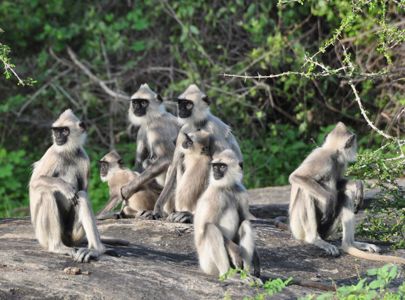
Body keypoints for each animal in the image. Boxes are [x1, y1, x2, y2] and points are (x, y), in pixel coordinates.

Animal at [28, 109, 105, 262]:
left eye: (64, 130)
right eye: (56, 130)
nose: (57, 136)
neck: (68, 153)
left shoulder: (83, 158)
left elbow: (83, 190)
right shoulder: (52, 153)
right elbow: (34, 182)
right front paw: (65, 187)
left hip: (73, 234)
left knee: (82, 195)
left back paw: (95, 250)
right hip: (42, 235)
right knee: (46, 194)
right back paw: (57, 247)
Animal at [153, 84, 241, 218]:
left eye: (188, 104)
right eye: (181, 103)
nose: (181, 110)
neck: (197, 125)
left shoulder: (213, 128)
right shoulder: (183, 131)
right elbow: (174, 165)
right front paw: (157, 209)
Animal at [288, 122, 404, 264]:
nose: (356, 149)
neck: (333, 153)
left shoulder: (340, 163)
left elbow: (339, 183)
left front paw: (358, 184)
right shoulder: (322, 157)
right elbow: (296, 176)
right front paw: (329, 199)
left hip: (327, 229)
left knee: (346, 194)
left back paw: (349, 244)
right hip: (298, 228)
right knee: (306, 192)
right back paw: (315, 239)